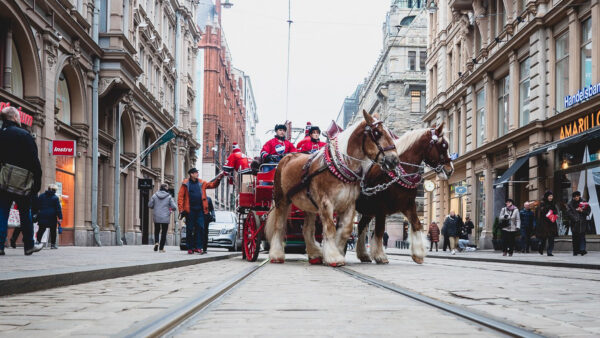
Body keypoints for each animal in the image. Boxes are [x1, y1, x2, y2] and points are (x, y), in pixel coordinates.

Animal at [266, 111, 398, 266]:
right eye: (377, 133)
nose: (394, 160)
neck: (340, 166)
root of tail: (287, 157)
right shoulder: (326, 203)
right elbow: (330, 228)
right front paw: (334, 257)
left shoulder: (349, 204)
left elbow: (345, 230)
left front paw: (337, 252)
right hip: (282, 200)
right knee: (279, 226)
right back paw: (276, 255)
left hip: (309, 205)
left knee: (307, 229)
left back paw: (315, 255)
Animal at [354, 124, 452, 264]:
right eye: (443, 145)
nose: (450, 170)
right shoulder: (381, 208)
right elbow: (379, 230)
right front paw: (380, 256)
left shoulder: (408, 205)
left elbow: (417, 224)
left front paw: (418, 254)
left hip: (368, 210)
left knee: (361, 226)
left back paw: (363, 254)